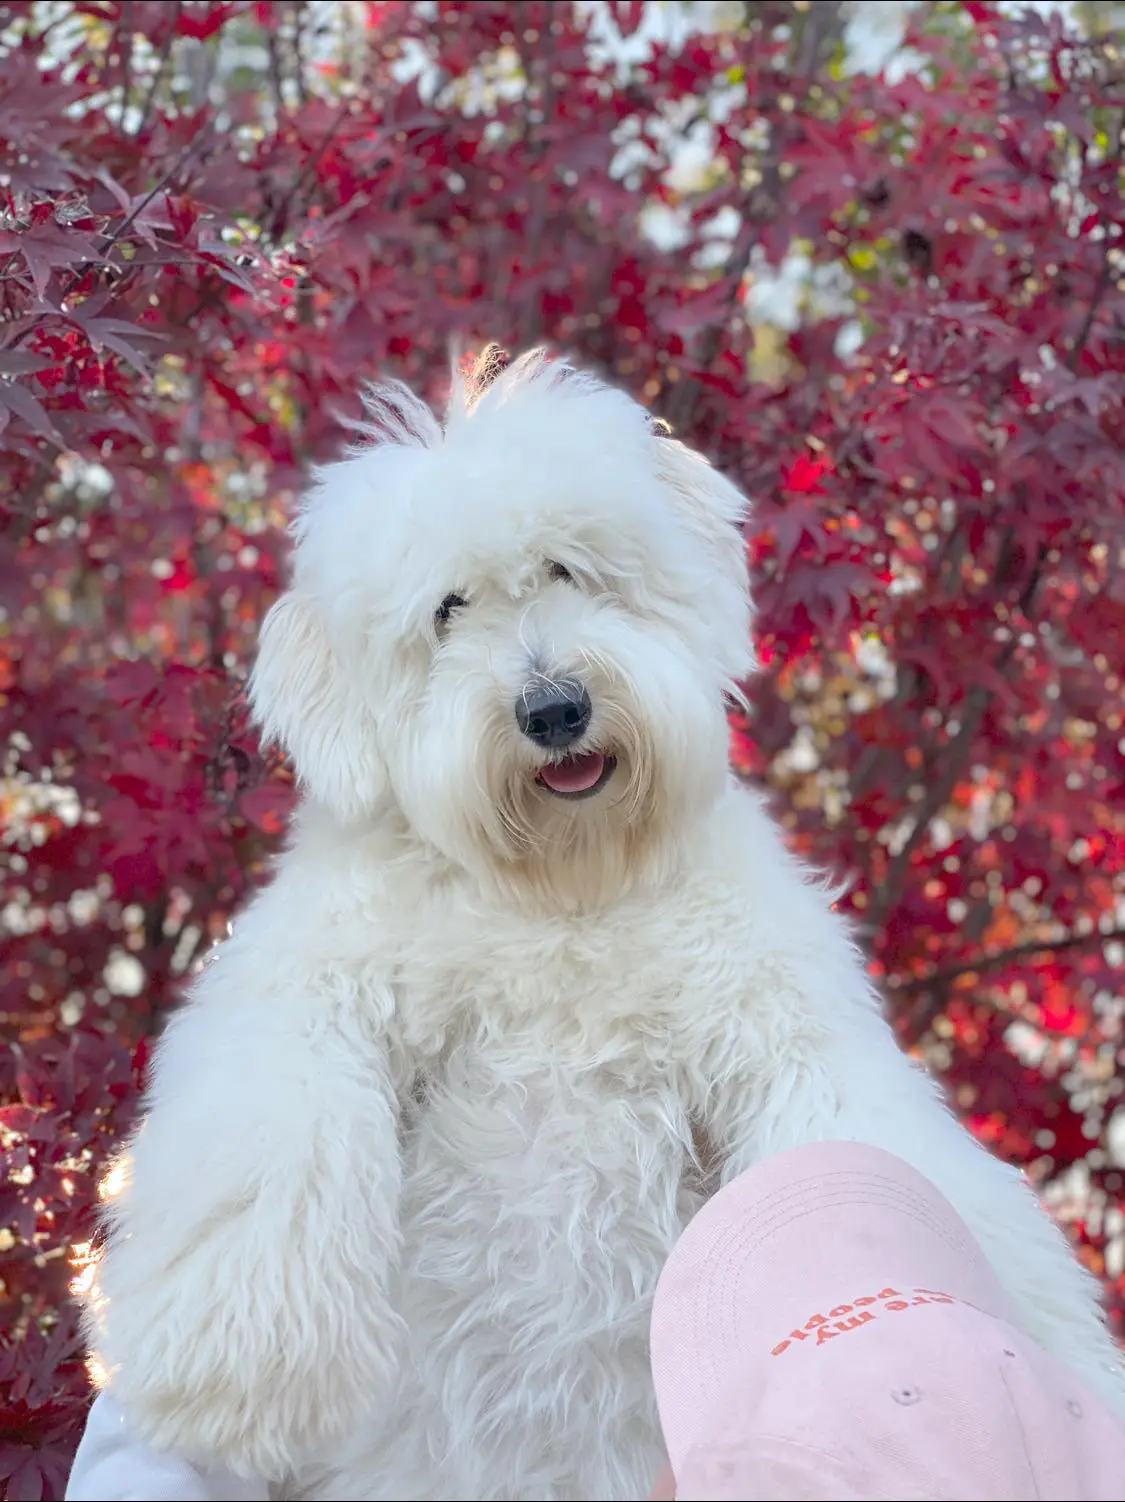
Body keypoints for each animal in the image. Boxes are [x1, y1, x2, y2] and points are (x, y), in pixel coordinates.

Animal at [85, 345, 1123, 1495]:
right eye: (446, 610)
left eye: (568, 570)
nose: (554, 710)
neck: (561, 892)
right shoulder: (309, 980)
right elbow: (271, 1137)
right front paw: (237, 1369)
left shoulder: (778, 1015)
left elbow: (875, 1154)